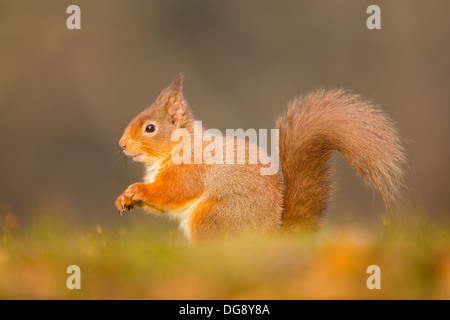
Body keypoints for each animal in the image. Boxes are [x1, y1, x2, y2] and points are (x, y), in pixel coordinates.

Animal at [114, 74, 406, 241]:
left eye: (150, 128)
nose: (122, 144)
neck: (180, 147)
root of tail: (270, 237)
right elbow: (160, 205)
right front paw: (124, 197)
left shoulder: (190, 171)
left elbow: (173, 192)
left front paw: (137, 189)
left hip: (214, 217)